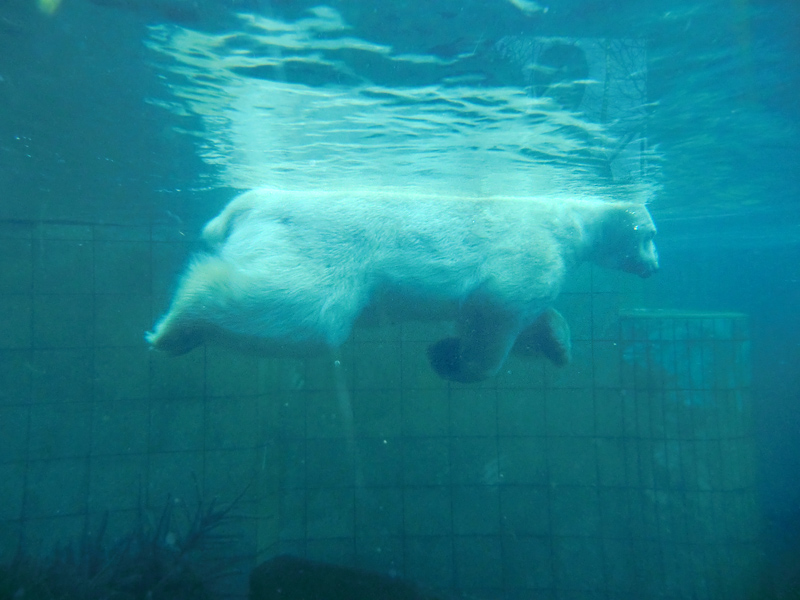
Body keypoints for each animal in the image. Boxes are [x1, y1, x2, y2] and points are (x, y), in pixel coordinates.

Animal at [148, 190, 656, 382]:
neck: (571, 221)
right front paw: (448, 359)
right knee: (302, 313)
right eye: (650, 234)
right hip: (320, 244)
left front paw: (557, 342)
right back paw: (174, 328)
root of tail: (243, 205)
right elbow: (497, 308)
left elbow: (521, 316)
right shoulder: (529, 249)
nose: (656, 267)